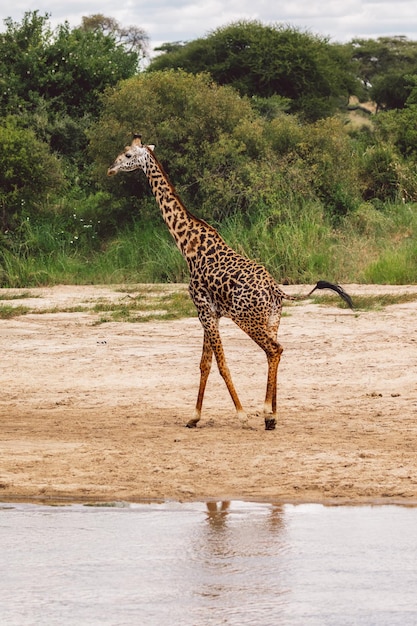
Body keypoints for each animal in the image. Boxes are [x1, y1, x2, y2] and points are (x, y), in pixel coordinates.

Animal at [107, 135, 352, 428]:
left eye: (127, 154)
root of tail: (277, 290)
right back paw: (272, 415)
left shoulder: (204, 310)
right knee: (274, 352)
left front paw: (242, 414)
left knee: (274, 350)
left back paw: (266, 411)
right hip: (272, 319)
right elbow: (205, 364)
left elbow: (222, 364)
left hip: (247, 319)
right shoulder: (209, 312)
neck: (187, 246)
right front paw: (194, 417)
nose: (110, 169)